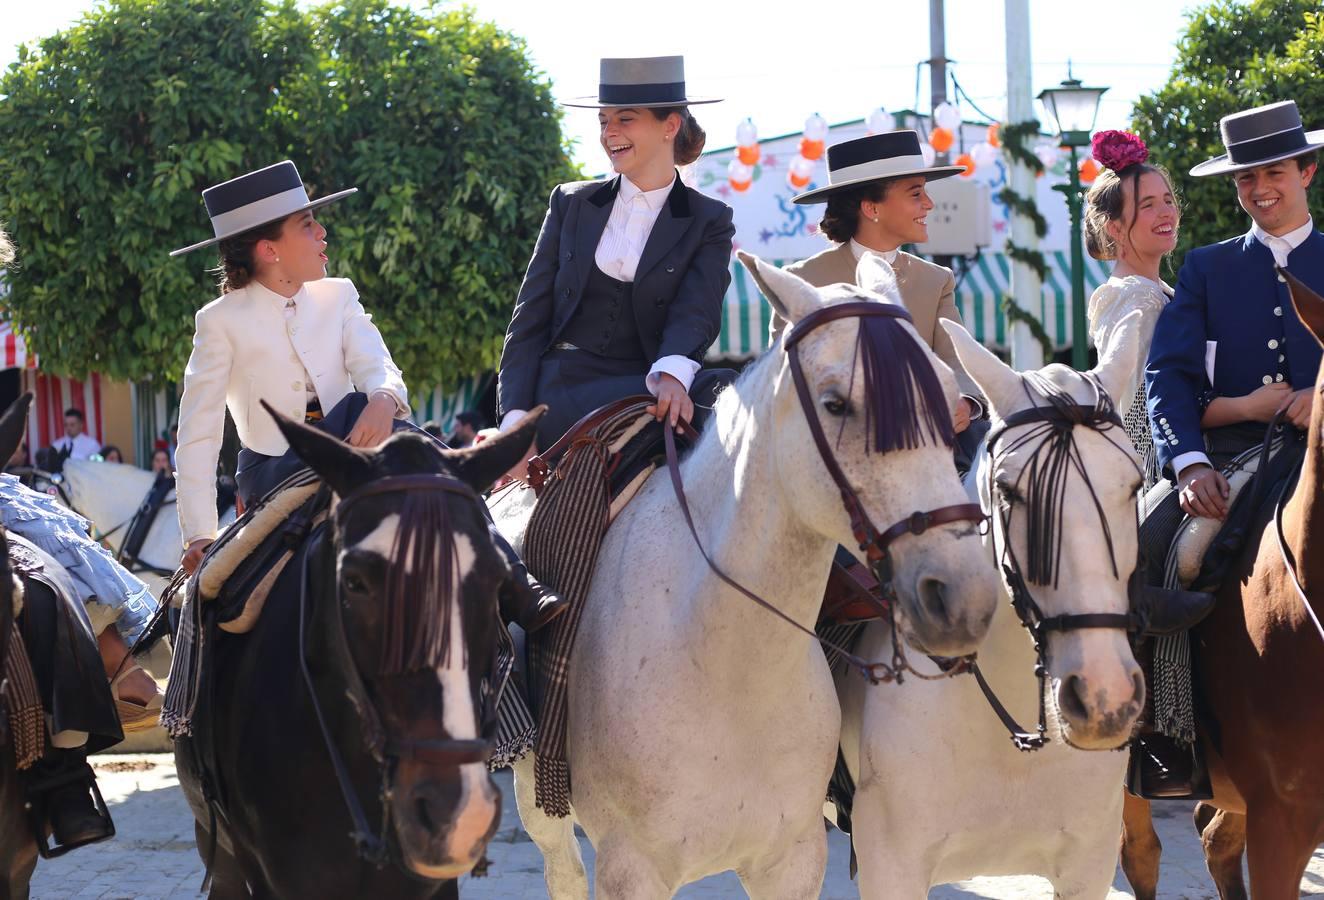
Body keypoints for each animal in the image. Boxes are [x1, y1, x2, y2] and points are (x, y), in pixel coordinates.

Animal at [500, 255, 995, 899]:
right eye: (836, 403)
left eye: (950, 398)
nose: (962, 594)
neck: (725, 657)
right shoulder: (631, 869)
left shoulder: (791, 862)